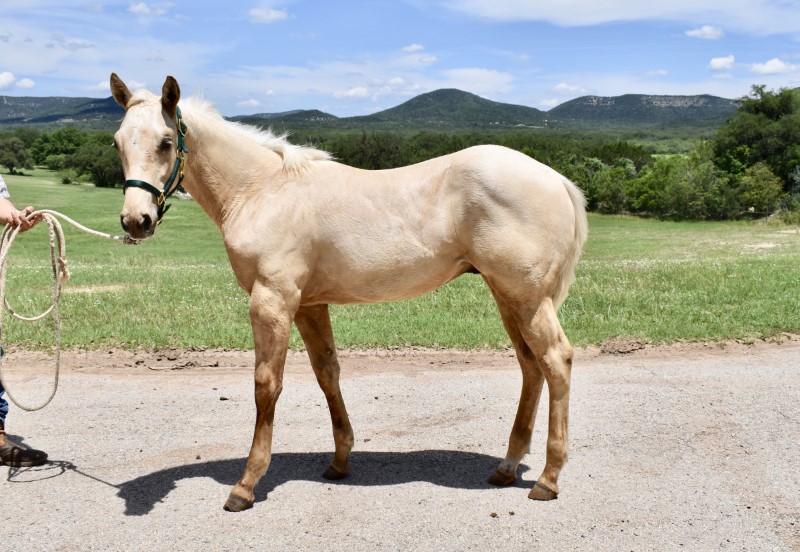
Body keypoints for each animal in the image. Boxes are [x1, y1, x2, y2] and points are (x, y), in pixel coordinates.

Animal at [111, 73, 588, 512]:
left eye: (166, 142)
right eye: (117, 143)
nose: (136, 221)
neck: (261, 189)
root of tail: (557, 180)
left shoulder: (272, 301)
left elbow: (266, 385)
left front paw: (245, 485)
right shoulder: (309, 304)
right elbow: (328, 374)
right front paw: (339, 462)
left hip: (527, 299)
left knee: (556, 360)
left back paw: (548, 479)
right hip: (509, 297)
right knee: (530, 366)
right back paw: (507, 467)